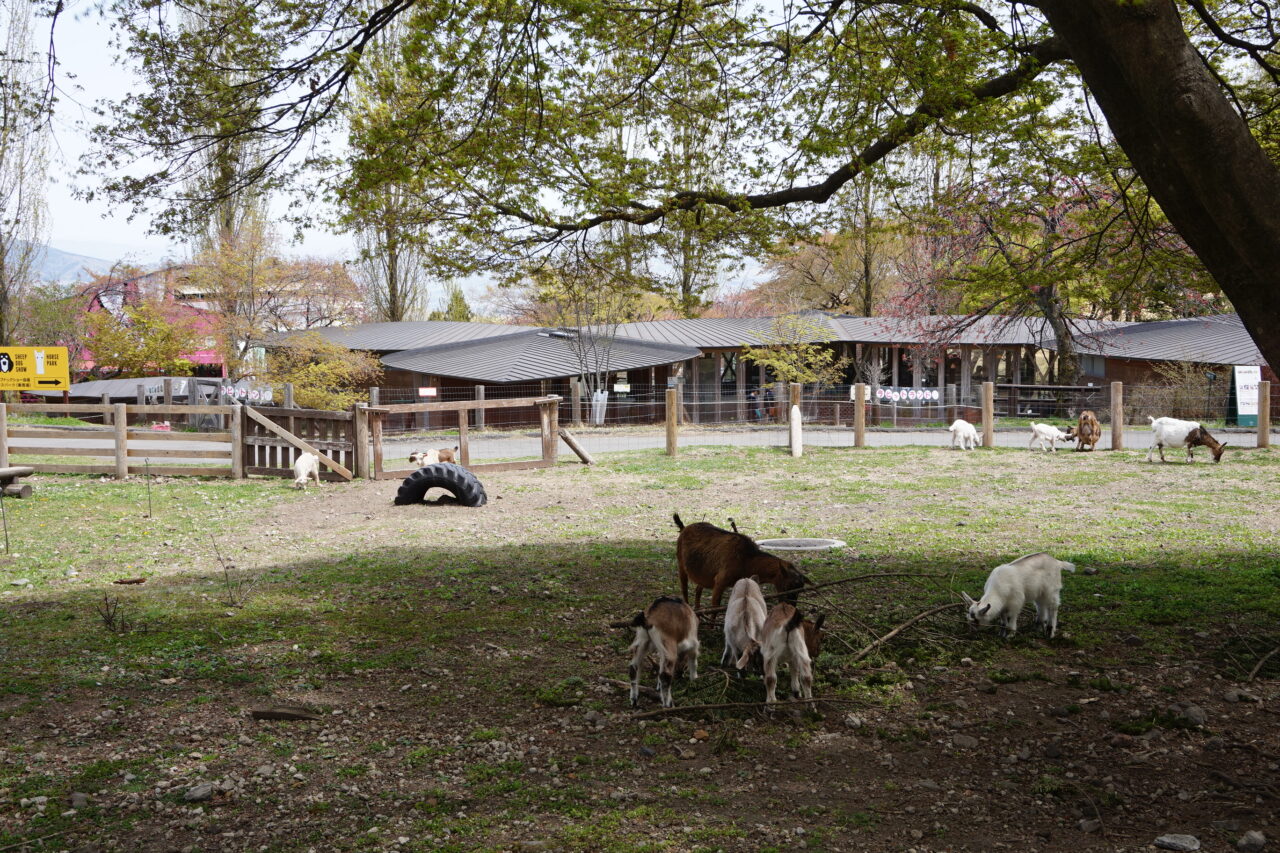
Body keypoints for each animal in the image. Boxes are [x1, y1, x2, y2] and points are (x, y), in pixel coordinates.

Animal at [670, 512, 808, 612]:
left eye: (800, 589)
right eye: (787, 586)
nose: (791, 607)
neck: (746, 560)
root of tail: (684, 528)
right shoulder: (720, 580)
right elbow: (715, 607)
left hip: (705, 575)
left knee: (698, 589)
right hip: (681, 563)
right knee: (684, 589)